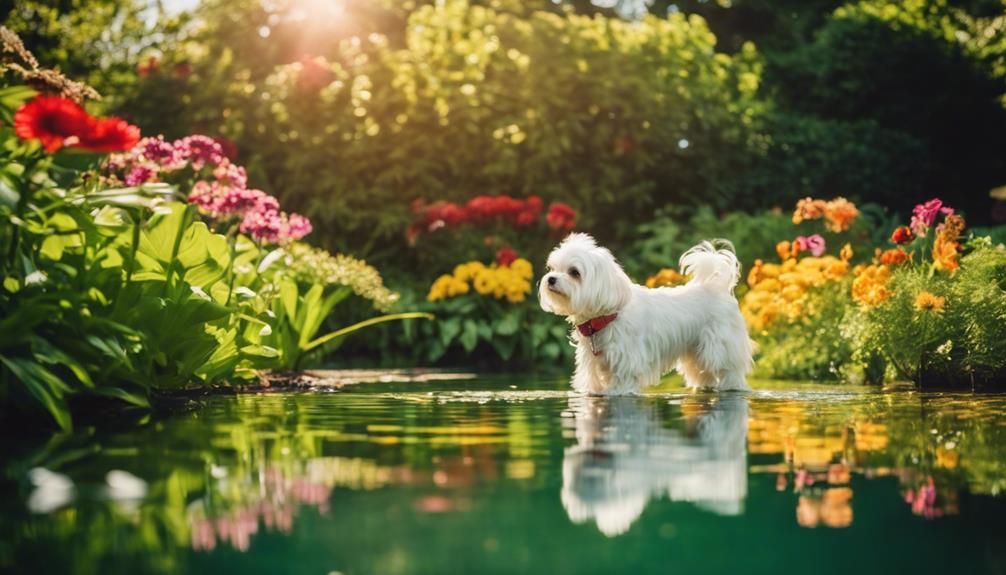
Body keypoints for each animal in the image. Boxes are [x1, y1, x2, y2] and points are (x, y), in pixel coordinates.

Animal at [539, 231, 752, 394]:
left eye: (574, 272)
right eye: (552, 268)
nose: (550, 279)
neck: (605, 317)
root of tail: (714, 286)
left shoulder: (625, 360)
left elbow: (622, 384)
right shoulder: (592, 362)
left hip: (721, 347)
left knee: (730, 372)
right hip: (696, 352)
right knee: (703, 374)